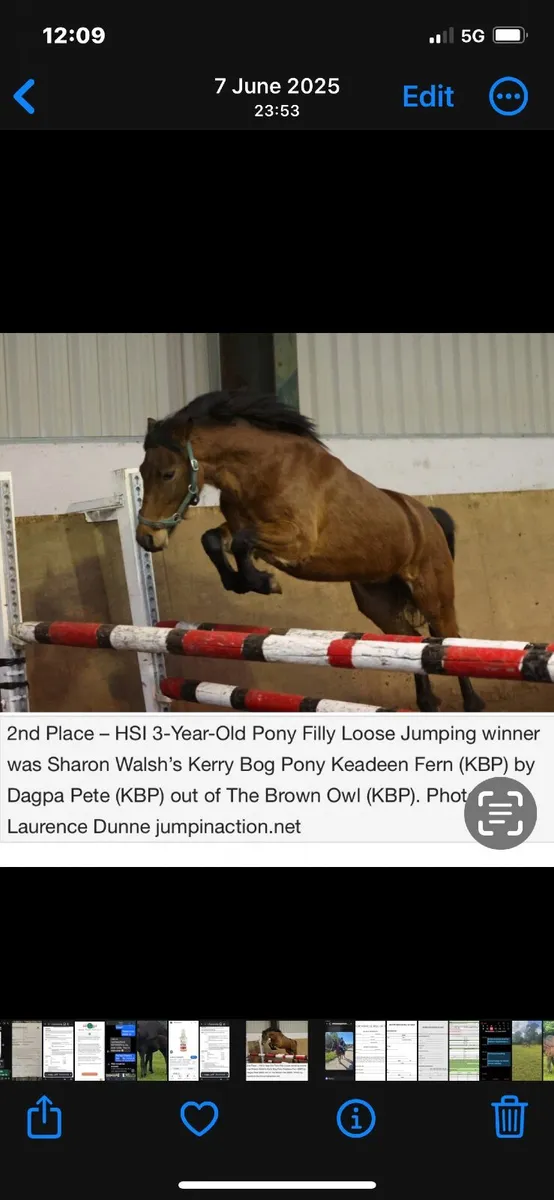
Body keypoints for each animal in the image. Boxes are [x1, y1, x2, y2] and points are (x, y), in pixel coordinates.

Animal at [135, 390, 485, 714]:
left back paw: (473, 702)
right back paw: (426, 702)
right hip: (377, 602)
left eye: (168, 473)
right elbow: (213, 539)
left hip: (432, 594)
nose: (146, 538)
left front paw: (264, 582)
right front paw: (240, 582)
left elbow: (243, 542)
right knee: (408, 641)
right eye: (140, 472)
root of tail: (426, 516)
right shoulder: (242, 525)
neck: (263, 470)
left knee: (446, 637)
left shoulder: (296, 540)